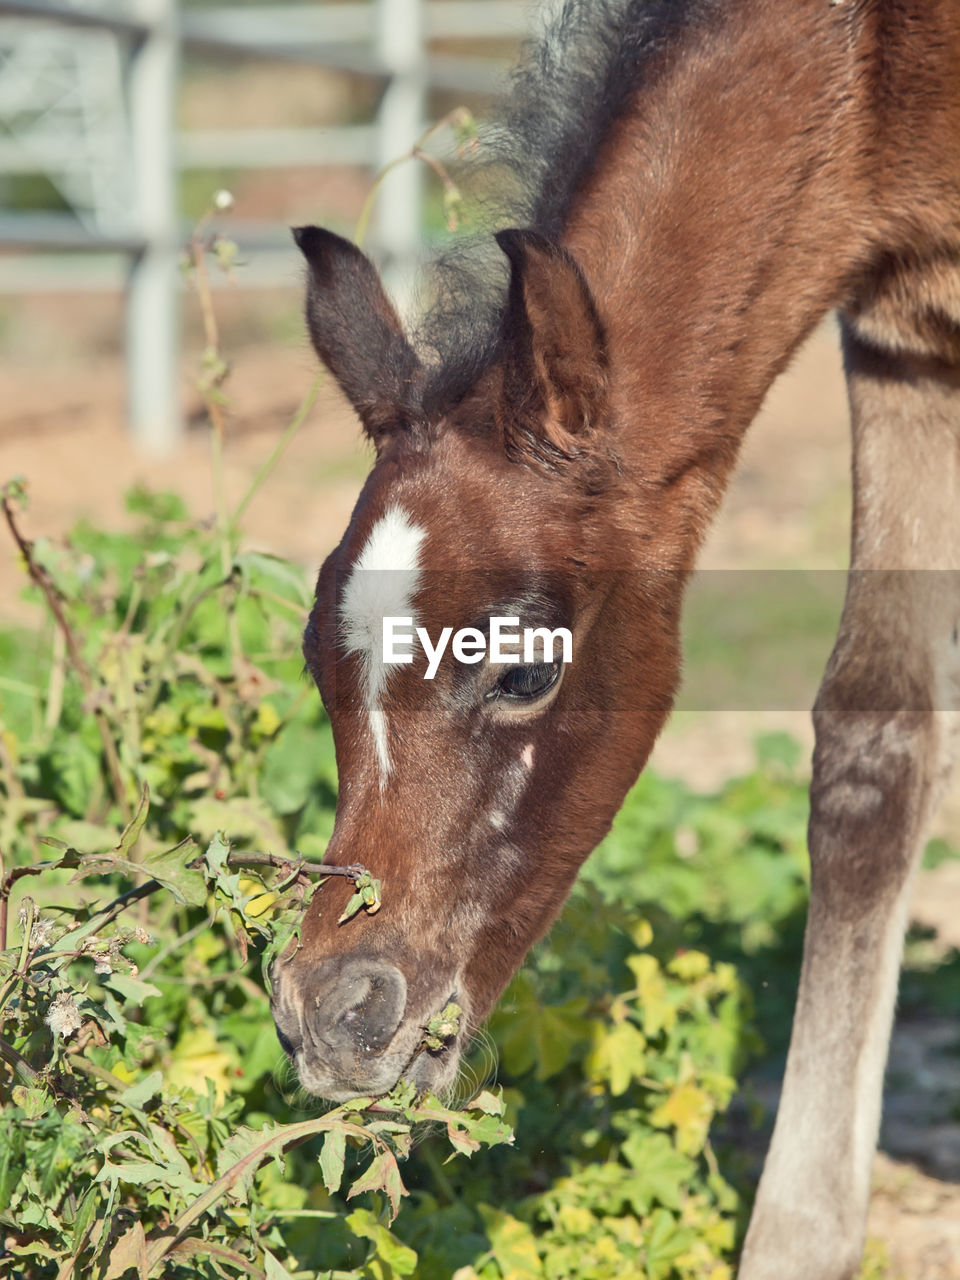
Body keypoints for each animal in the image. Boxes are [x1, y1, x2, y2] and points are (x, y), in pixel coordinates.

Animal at [268, 5, 960, 1274]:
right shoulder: (908, 341)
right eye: (315, 660)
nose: (333, 1014)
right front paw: (798, 1237)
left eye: (524, 667)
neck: (888, 59)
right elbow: (876, 745)